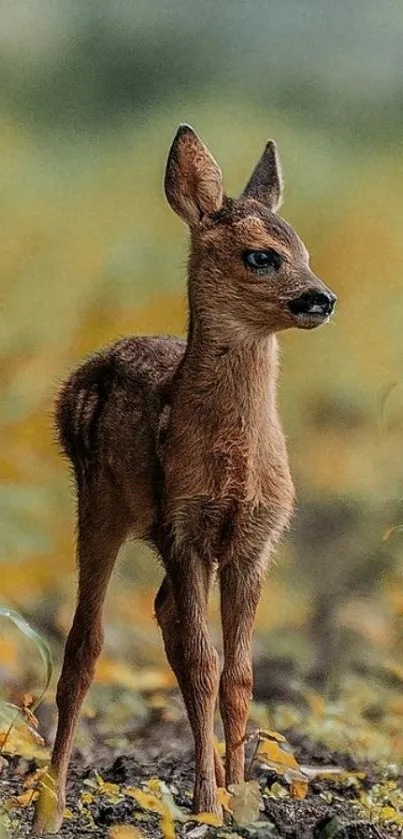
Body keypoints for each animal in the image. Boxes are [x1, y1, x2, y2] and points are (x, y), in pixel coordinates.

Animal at [34, 124, 338, 832]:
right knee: (84, 646)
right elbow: (203, 664)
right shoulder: (185, 526)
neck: (233, 464)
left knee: (163, 614)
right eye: (261, 257)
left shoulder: (255, 541)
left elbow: (240, 674)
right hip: (99, 504)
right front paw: (206, 803)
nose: (321, 298)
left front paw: (242, 797)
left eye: (304, 249)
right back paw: (50, 806)